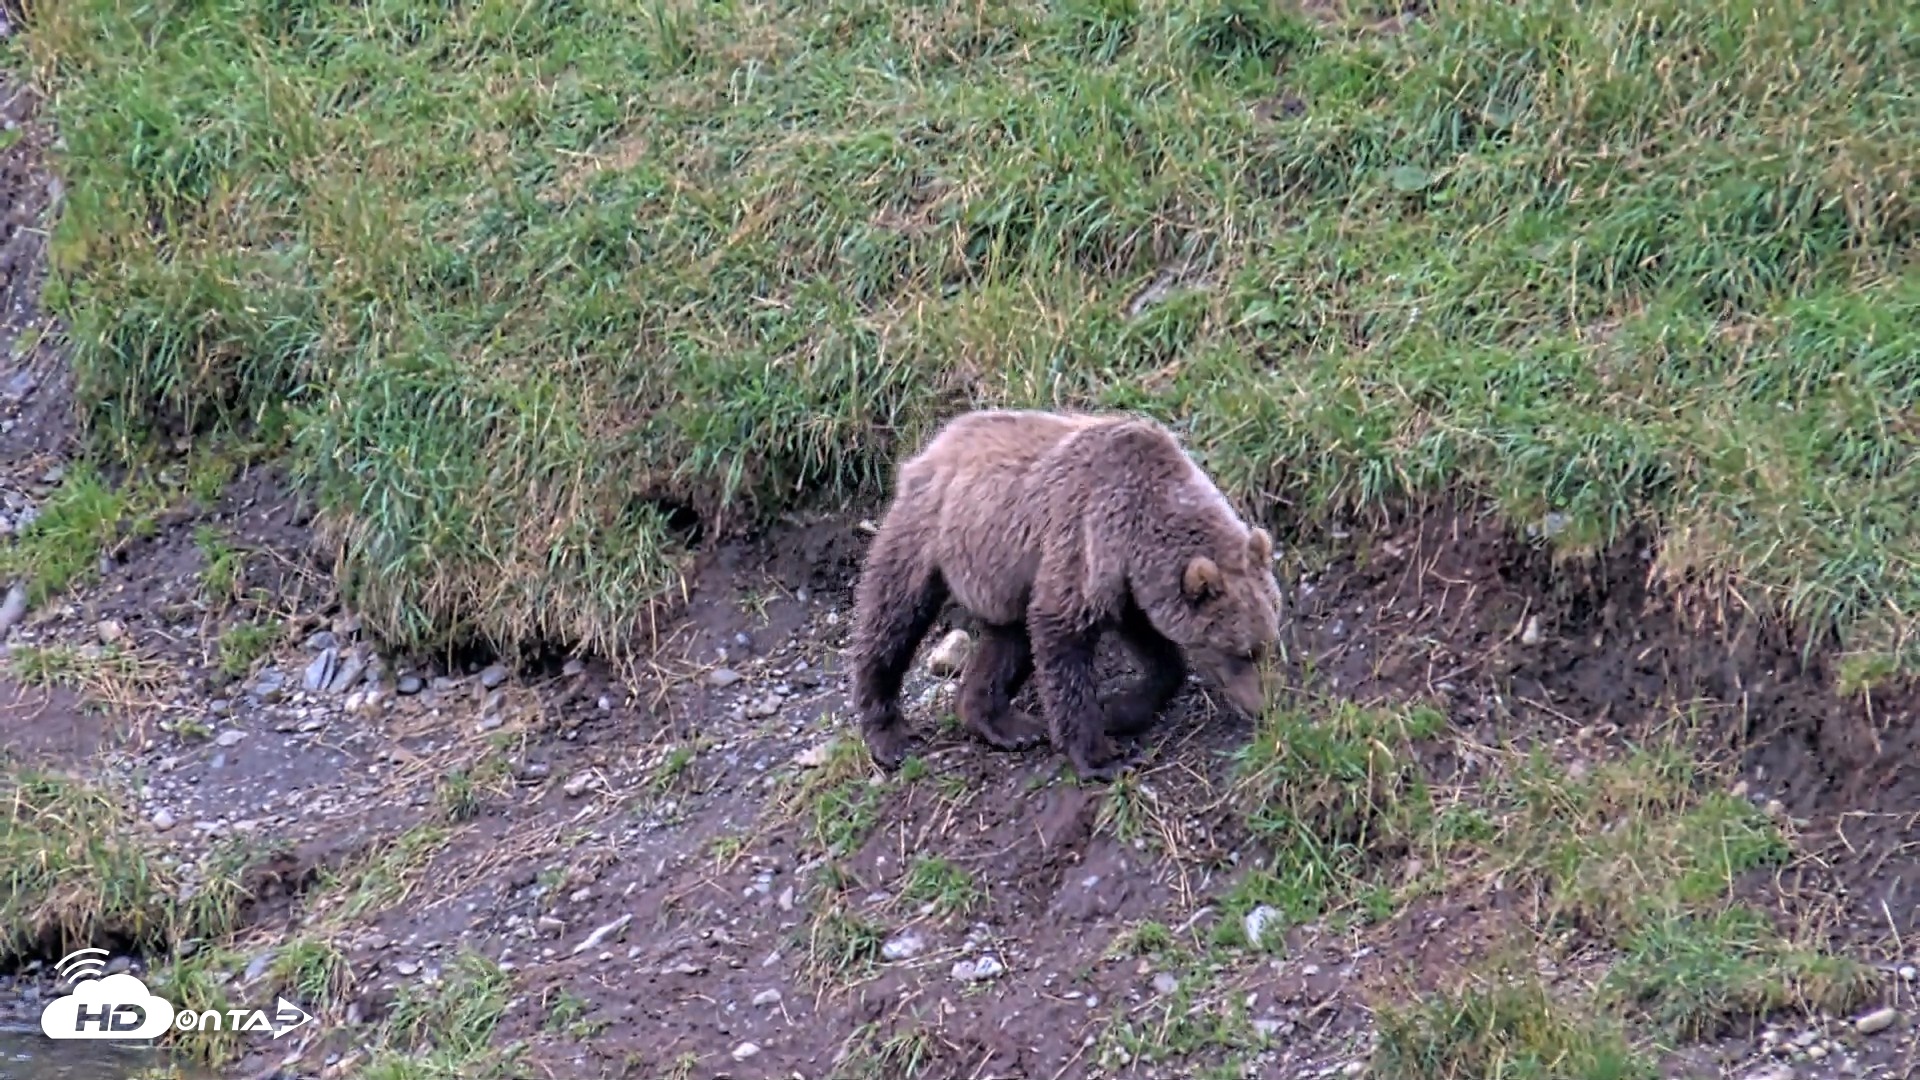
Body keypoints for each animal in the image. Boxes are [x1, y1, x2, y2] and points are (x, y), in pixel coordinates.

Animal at [846, 408, 1285, 782]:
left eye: (1267, 645)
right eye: (1240, 651)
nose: (1265, 706)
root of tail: (930, 447)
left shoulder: (1126, 582)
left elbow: (1153, 646)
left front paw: (1120, 709)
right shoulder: (1088, 537)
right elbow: (1063, 637)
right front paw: (1104, 758)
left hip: (1005, 573)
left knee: (1008, 639)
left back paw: (1004, 724)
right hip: (929, 531)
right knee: (893, 616)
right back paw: (889, 734)